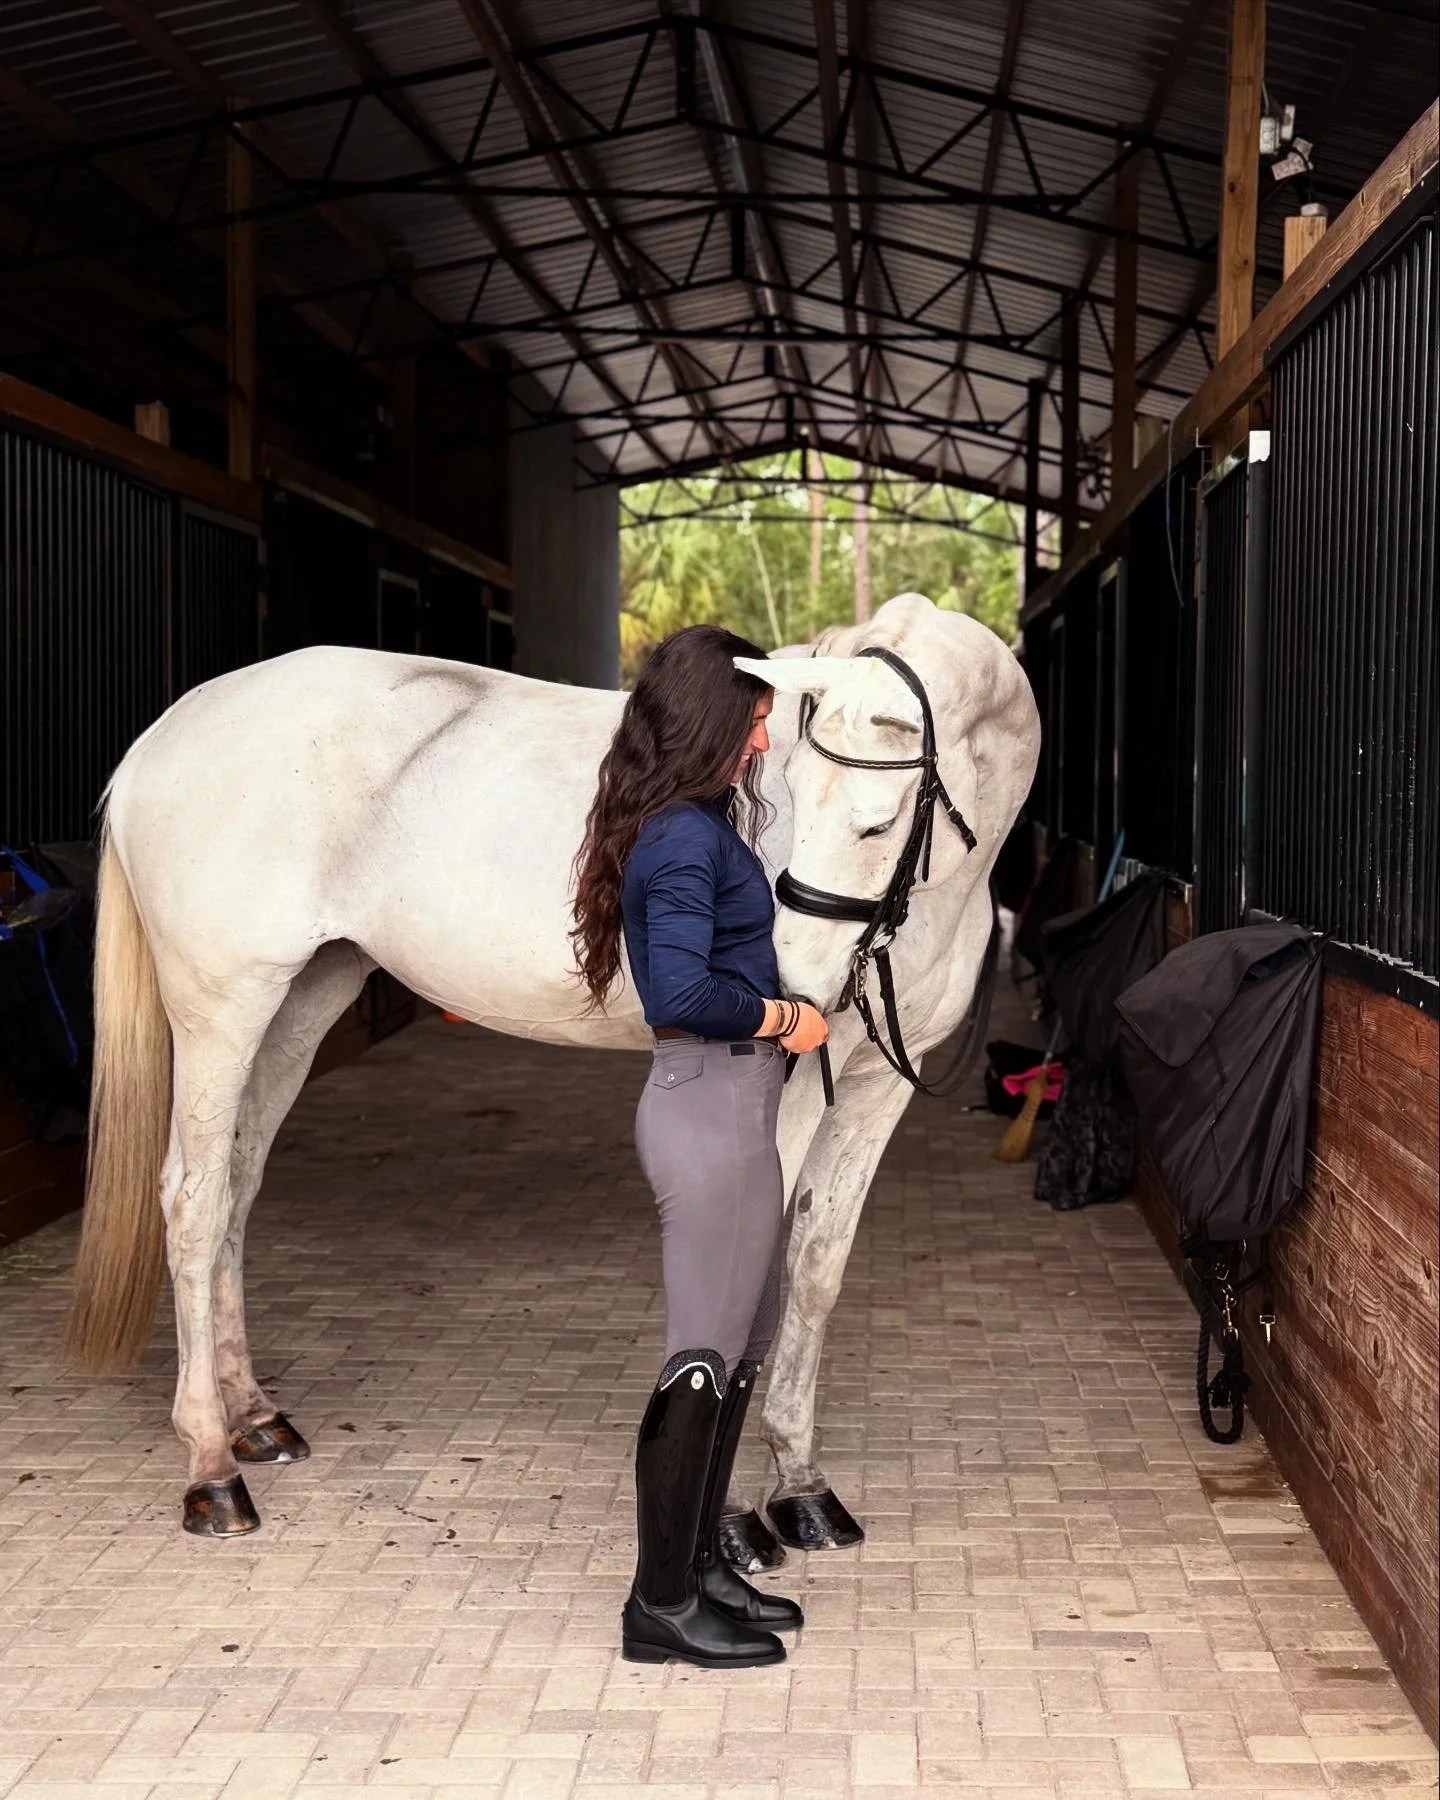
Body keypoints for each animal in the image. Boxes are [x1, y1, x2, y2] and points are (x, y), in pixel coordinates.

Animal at [68, 591, 1040, 1546]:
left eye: (876, 822)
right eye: (793, 790)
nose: (792, 982)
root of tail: (169, 731)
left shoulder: (875, 1091)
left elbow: (815, 1266)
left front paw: (801, 1486)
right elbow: (750, 1270)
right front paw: (728, 1522)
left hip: (298, 1006)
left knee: (236, 1187)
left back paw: (254, 1418)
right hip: (222, 1010)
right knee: (193, 1203)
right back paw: (212, 1469)